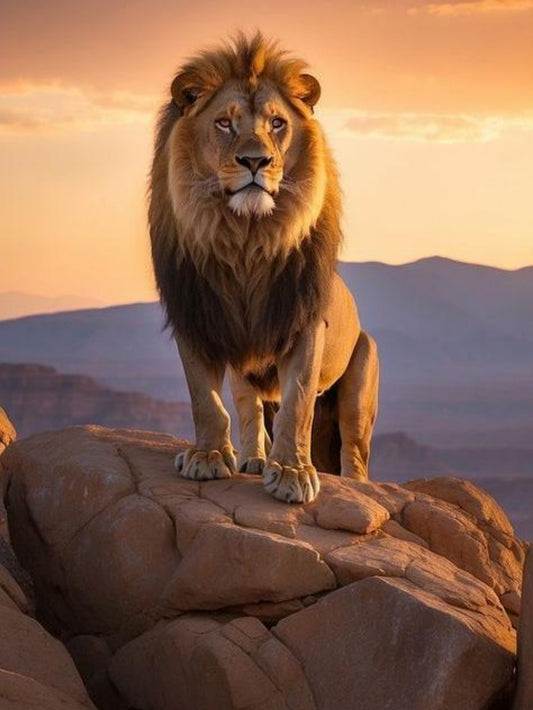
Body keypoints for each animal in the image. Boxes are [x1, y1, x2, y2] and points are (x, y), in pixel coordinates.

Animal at [149, 32, 379, 504]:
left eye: (276, 123)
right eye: (224, 123)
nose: (256, 162)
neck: (247, 241)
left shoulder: (302, 322)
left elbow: (297, 405)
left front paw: (292, 473)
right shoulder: (196, 316)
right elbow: (205, 399)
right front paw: (207, 456)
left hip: (363, 372)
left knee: (353, 446)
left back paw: (354, 483)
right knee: (250, 408)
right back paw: (254, 459)